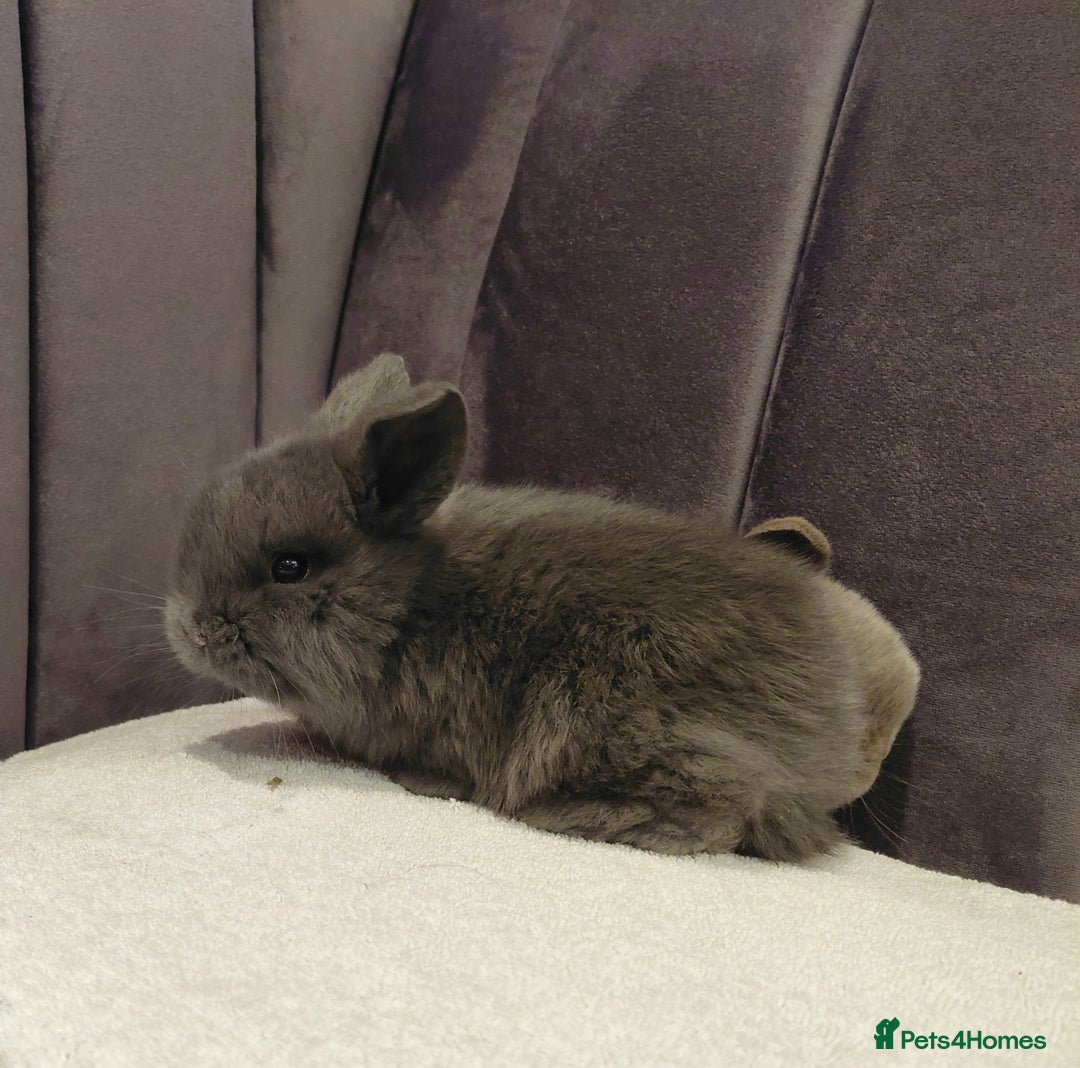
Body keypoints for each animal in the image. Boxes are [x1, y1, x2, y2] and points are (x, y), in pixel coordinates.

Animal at [166, 353, 920, 861]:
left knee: (726, 811)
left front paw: (423, 781)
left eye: (289, 568)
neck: (413, 610)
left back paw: (568, 817)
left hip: (613, 715)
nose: (189, 629)